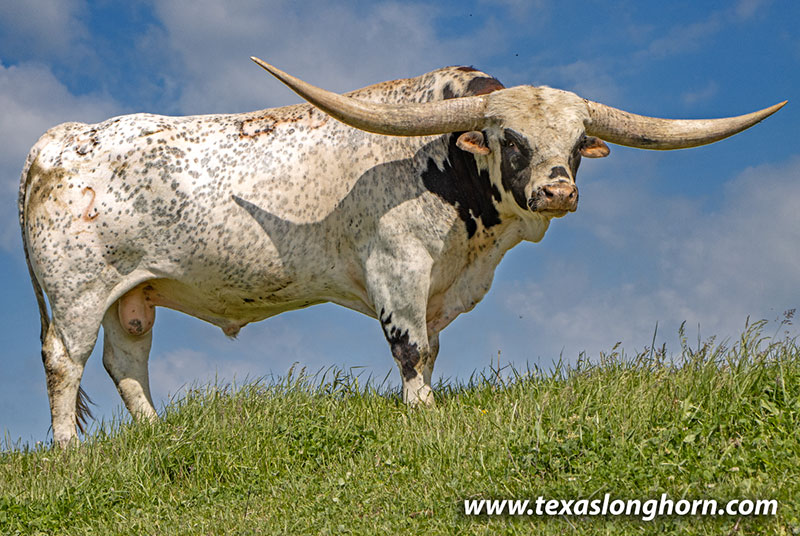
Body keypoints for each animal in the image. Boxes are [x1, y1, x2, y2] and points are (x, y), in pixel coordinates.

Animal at [19, 57, 784, 445]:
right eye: (511, 140)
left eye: (575, 146)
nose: (557, 190)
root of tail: (58, 141)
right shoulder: (398, 271)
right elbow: (410, 348)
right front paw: (424, 415)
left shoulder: (442, 285)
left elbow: (433, 349)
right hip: (77, 292)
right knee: (66, 360)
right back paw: (67, 453)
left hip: (132, 294)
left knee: (126, 361)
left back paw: (157, 437)